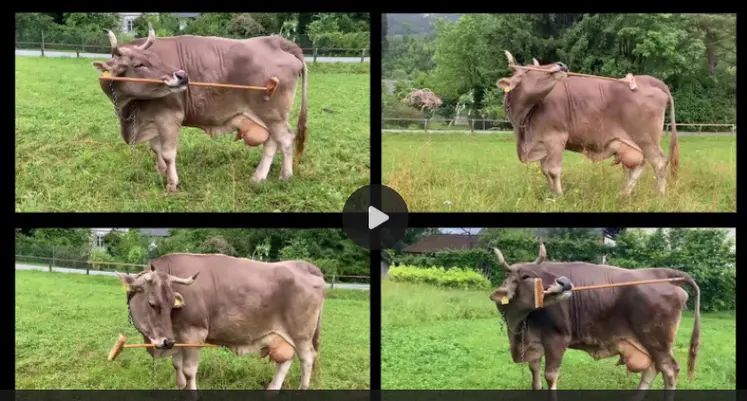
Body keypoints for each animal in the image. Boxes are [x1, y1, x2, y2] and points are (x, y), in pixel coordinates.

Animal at [92, 23, 308, 193]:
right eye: (139, 64)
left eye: (156, 58)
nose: (182, 75)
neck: (128, 110)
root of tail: (277, 41)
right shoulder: (152, 119)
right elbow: (155, 149)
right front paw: (161, 173)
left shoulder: (169, 117)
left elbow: (168, 153)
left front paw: (172, 184)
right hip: (269, 117)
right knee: (272, 142)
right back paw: (258, 177)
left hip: (273, 114)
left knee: (285, 139)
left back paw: (285, 177)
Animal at [116, 253, 325, 390]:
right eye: (152, 304)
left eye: (170, 304)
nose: (166, 341)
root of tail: (303, 265)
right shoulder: (177, 336)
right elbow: (177, 368)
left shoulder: (193, 333)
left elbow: (189, 371)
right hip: (283, 336)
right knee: (286, 360)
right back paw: (272, 388)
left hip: (302, 335)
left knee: (307, 359)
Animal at [488, 243, 700, 391]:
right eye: (525, 276)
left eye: (543, 272)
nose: (564, 282)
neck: (518, 324)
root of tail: (662, 272)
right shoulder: (533, 343)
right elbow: (535, 377)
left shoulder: (557, 339)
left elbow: (550, 376)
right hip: (650, 344)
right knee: (652, 370)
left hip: (657, 341)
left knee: (669, 370)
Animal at [496, 51, 679, 197]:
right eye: (528, 70)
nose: (561, 65)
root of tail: (649, 80)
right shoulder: (542, 143)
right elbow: (545, 171)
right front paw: (552, 195)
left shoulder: (556, 139)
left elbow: (553, 171)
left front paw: (559, 197)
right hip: (634, 144)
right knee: (639, 165)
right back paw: (623, 194)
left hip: (646, 139)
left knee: (659, 162)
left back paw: (659, 196)